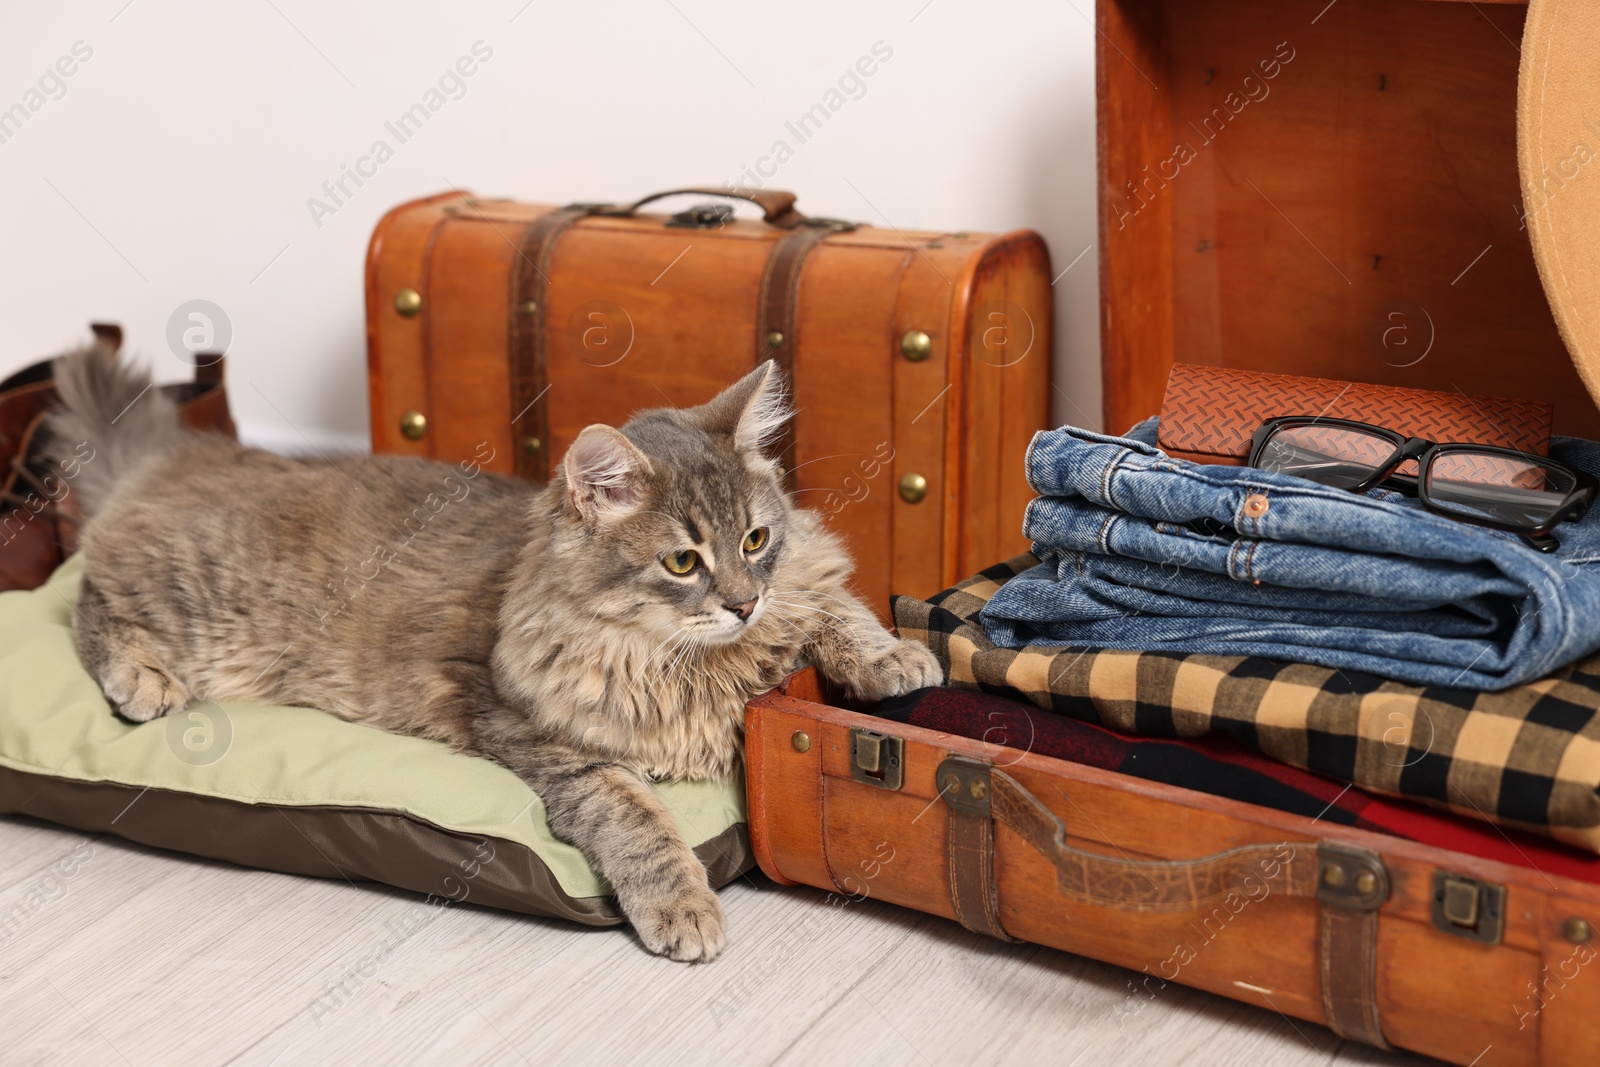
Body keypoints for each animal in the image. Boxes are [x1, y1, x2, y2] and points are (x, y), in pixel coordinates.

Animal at [53, 350, 934, 959]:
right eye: (683, 562)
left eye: (754, 539)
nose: (743, 603)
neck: (677, 657)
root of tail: (184, 455)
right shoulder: (547, 738)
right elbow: (638, 819)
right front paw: (683, 907)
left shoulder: (797, 590)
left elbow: (835, 607)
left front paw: (899, 658)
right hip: (203, 607)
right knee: (84, 594)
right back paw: (143, 679)